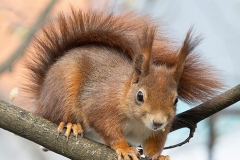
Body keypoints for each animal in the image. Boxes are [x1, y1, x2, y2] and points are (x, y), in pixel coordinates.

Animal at [22, 7, 221, 160]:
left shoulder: (161, 128)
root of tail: (41, 97)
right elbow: (107, 129)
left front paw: (158, 156)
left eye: (176, 100)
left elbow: (154, 143)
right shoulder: (101, 108)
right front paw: (124, 148)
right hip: (62, 89)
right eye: (140, 96)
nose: (157, 122)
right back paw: (70, 124)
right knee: (56, 114)